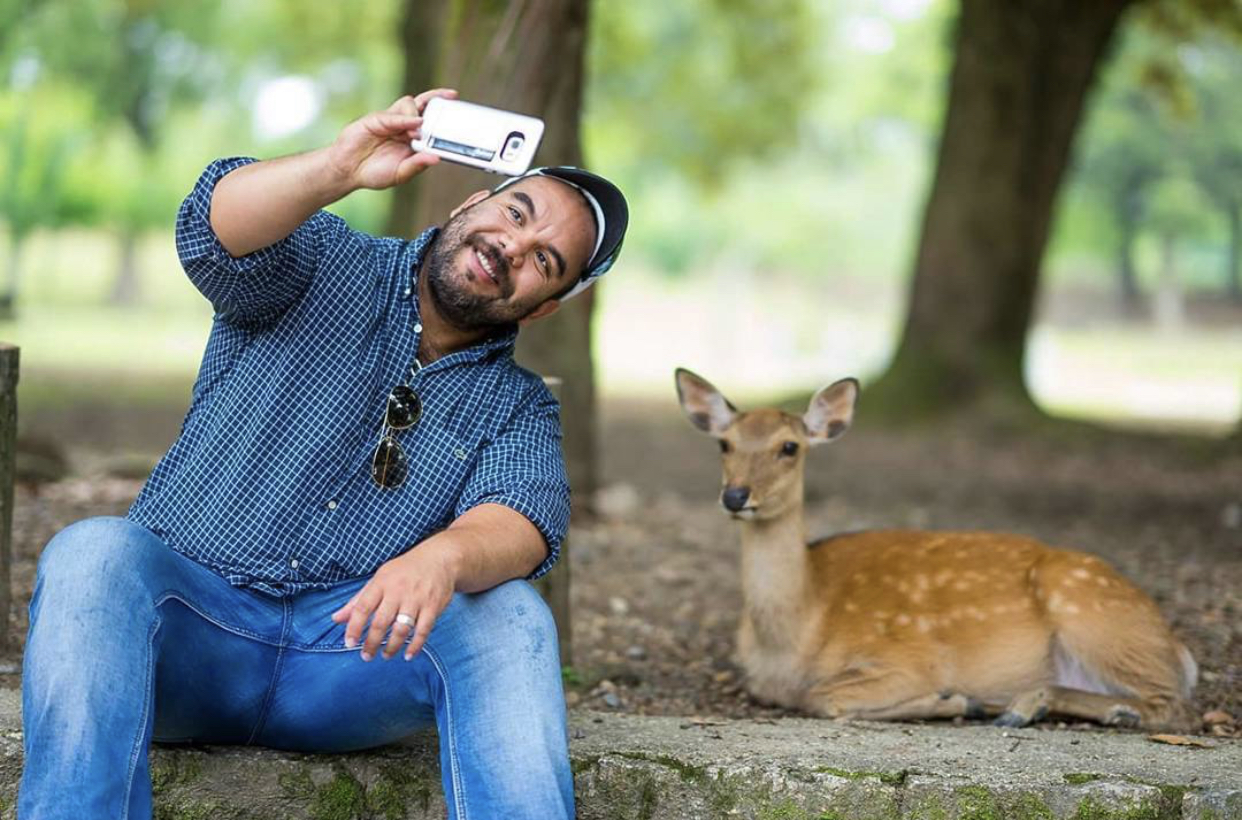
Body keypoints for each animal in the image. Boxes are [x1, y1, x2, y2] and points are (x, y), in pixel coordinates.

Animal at [675, 367, 1197, 725]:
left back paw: (1039, 706)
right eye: (724, 443)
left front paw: (954, 698)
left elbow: (822, 696)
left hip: (1089, 609)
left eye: (789, 447)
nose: (735, 496)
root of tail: (1177, 648)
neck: (793, 638)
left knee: (1167, 702)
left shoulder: (908, 655)